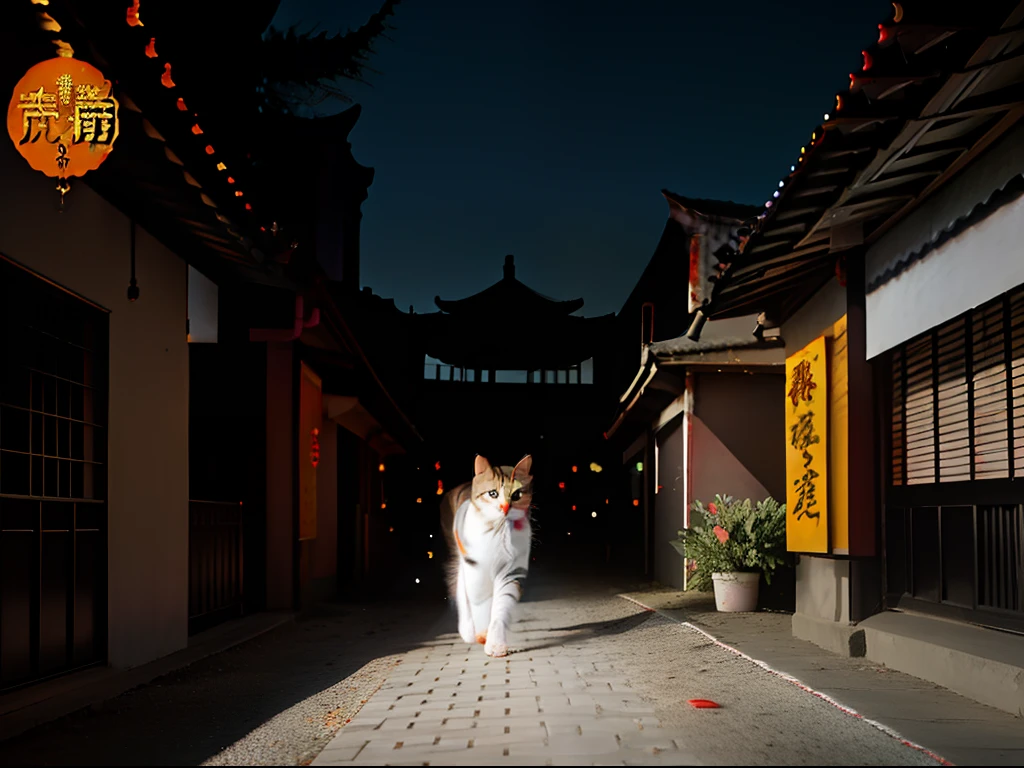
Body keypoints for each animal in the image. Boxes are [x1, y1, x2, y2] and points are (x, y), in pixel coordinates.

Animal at [440, 454, 536, 659]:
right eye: (493, 493)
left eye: (516, 495)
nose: (505, 507)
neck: (499, 533)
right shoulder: (475, 570)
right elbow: (478, 603)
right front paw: (481, 632)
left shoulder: (512, 571)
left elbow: (501, 606)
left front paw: (496, 643)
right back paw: (468, 630)